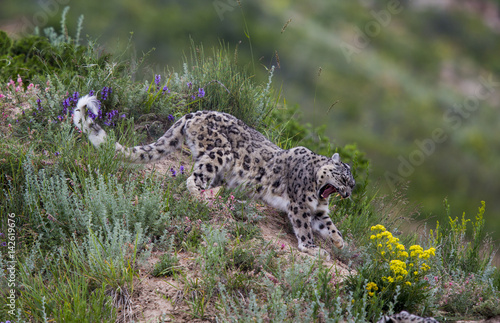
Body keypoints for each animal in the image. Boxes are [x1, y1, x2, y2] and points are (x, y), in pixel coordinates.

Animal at [73, 95, 356, 260]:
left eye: (352, 184)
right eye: (343, 178)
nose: (347, 194)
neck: (317, 191)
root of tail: (193, 113)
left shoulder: (319, 210)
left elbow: (329, 224)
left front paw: (340, 242)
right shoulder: (300, 205)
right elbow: (304, 227)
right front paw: (312, 248)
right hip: (220, 152)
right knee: (192, 179)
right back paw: (204, 197)